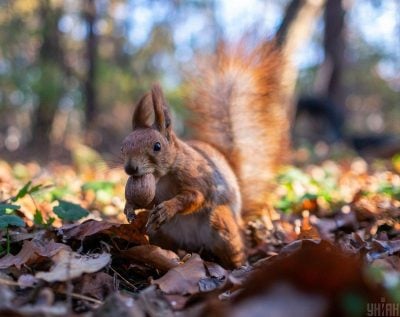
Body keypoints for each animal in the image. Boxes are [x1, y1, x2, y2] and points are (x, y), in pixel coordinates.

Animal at [120, 42, 290, 266]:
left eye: (157, 146)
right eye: (122, 147)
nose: (130, 168)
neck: (161, 178)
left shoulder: (196, 177)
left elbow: (195, 197)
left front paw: (168, 208)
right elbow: (144, 203)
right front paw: (129, 207)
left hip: (221, 224)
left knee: (236, 249)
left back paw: (240, 265)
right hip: (161, 233)